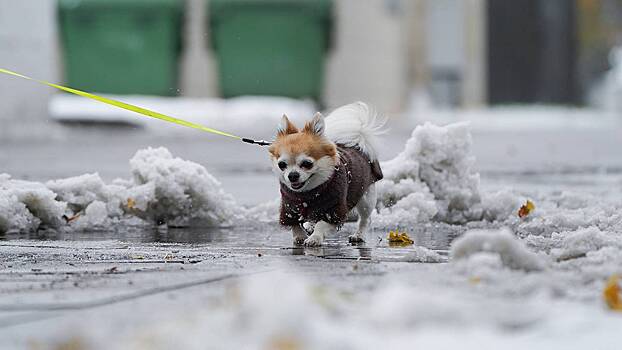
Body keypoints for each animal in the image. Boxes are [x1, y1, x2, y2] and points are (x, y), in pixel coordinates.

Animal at [268, 102, 386, 246]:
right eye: (282, 164)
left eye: (307, 163)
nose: (292, 175)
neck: (307, 193)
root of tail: (358, 143)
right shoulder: (290, 208)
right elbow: (294, 224)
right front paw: (299, 236)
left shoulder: (333, 209)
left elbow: (322, 224)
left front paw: (314, 238)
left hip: (366, 198)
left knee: (365, 219)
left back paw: (359, 235)